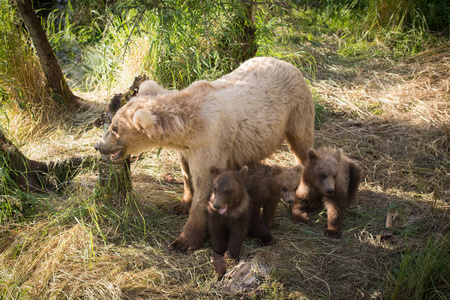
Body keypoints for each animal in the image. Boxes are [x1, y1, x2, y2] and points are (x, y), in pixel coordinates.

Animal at [93, 55, 314, 251]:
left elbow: (206, 186)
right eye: (111, 124)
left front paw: (183, 242)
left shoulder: (211, 143)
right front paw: (180, 205)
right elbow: (187, 174)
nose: (98, 145)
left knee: (303, 148)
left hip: (296, 110)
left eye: (115, 129)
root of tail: (286, 62)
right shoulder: (187, 149)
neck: (187, 130)